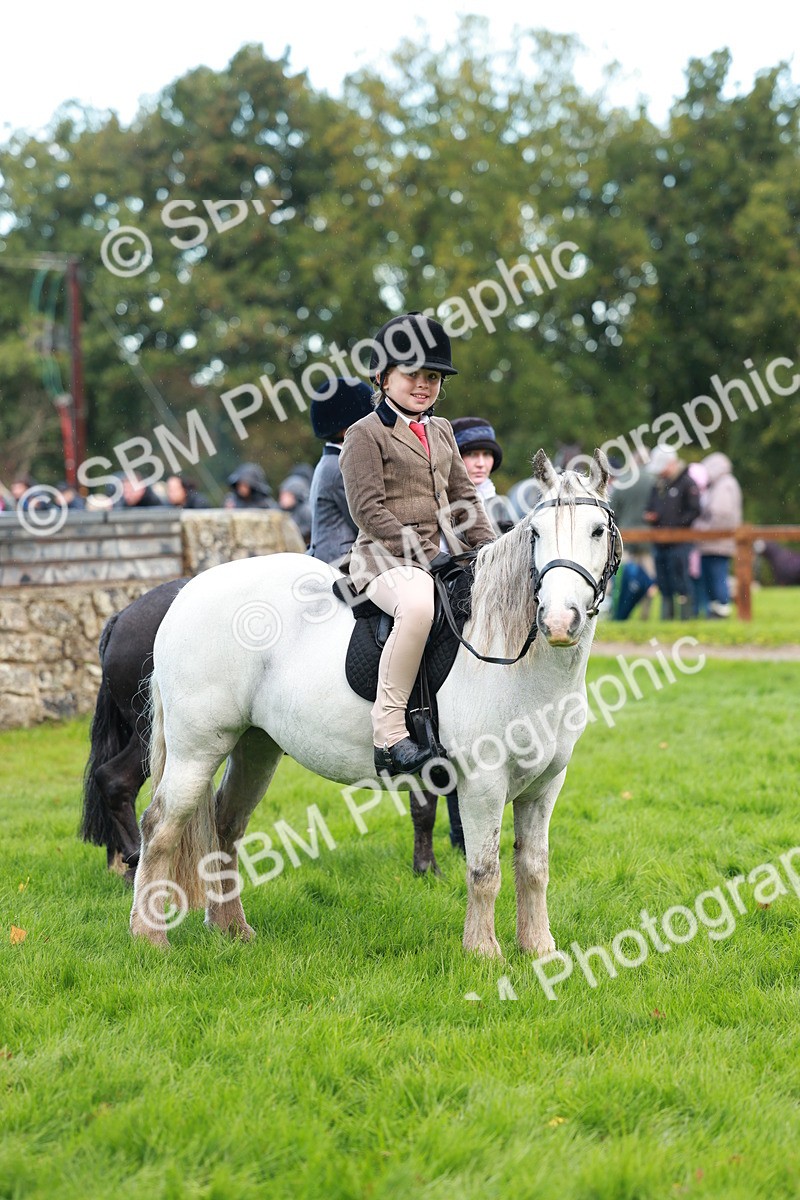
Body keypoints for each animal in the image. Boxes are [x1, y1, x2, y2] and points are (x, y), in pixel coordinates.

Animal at [130, 449, 621, 955]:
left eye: (597, 531)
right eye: (537, 534)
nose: (559, 621)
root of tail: (186, 593)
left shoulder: (545, 785)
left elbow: (534, 868)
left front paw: (539, 949)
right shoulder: (483, 783)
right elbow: (485, 870)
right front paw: (483, 952)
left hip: (255, 745)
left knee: (226, 826)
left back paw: (232, 929)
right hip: (198, 747)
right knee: (159, 826)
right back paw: (149, 937)